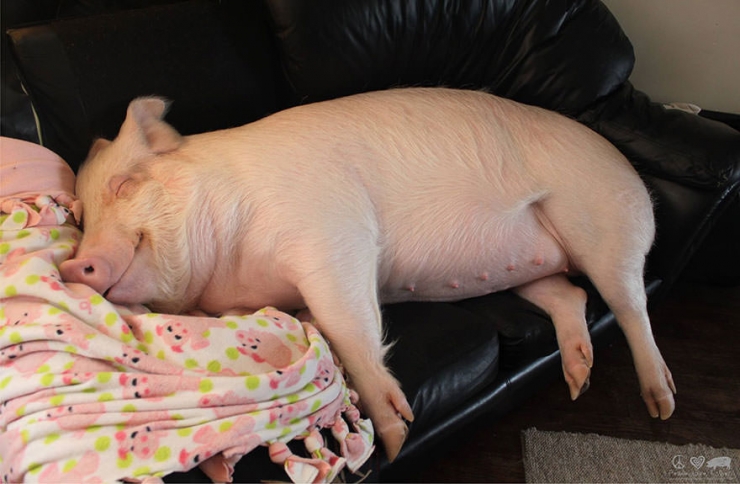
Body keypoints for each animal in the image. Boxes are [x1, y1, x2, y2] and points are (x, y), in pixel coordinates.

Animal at [59, 87, 677, 461]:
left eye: (124, 185)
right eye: (82, 215)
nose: (72, 264)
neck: (230, 267)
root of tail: (632, 174)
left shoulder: (334, 232)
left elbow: (347, 324)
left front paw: (398, 438)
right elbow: (308, 324)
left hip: (602, 223)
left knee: (631, 305)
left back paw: (660, 404)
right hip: (526, 267)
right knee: (570, 296)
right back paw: (577, 380)